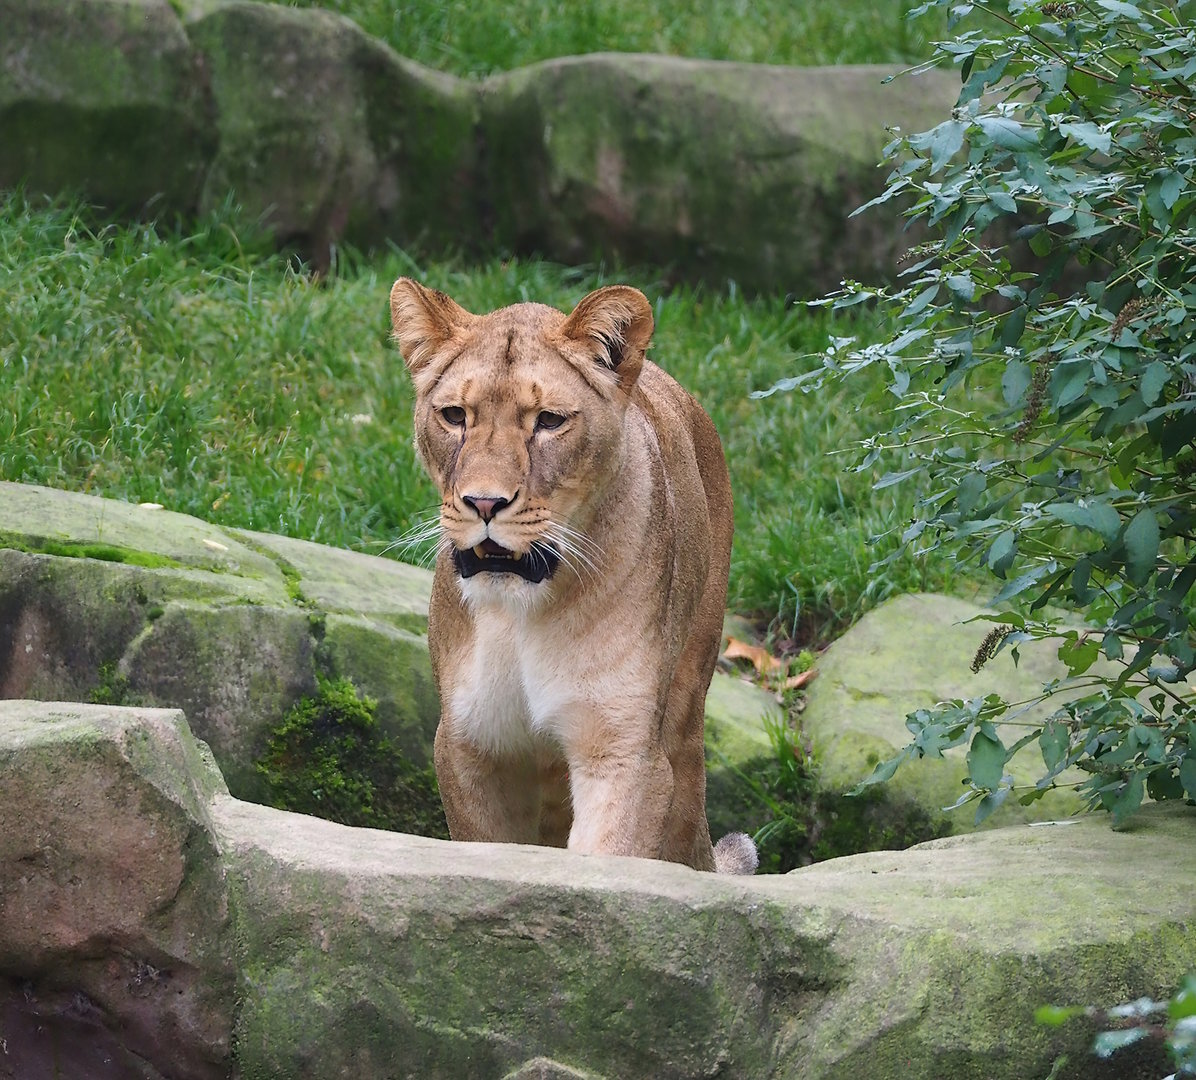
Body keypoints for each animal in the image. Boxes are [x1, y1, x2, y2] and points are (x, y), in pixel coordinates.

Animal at [390, 277, 757, 874]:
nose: (484, 503)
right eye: (454, 416)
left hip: (686, 703)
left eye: (549, 421)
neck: (518, 614)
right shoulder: (471, 745)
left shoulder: (625, 751)